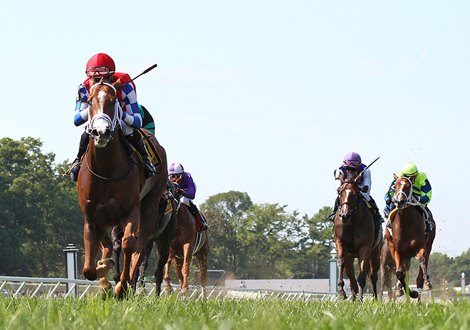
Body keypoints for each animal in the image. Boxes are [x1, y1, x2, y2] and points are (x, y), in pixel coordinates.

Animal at [75, 80, 167, 296]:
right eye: (89, 101)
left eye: (113, 100)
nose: (101, 132)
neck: (106, 169)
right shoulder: (92, 217)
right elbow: (89, 268)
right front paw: (104, 273)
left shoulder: (130, 210)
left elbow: (128, 244)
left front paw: (121, 285)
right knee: (109, 245)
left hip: (150, 205)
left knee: (139, 246)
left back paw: (129, 283)